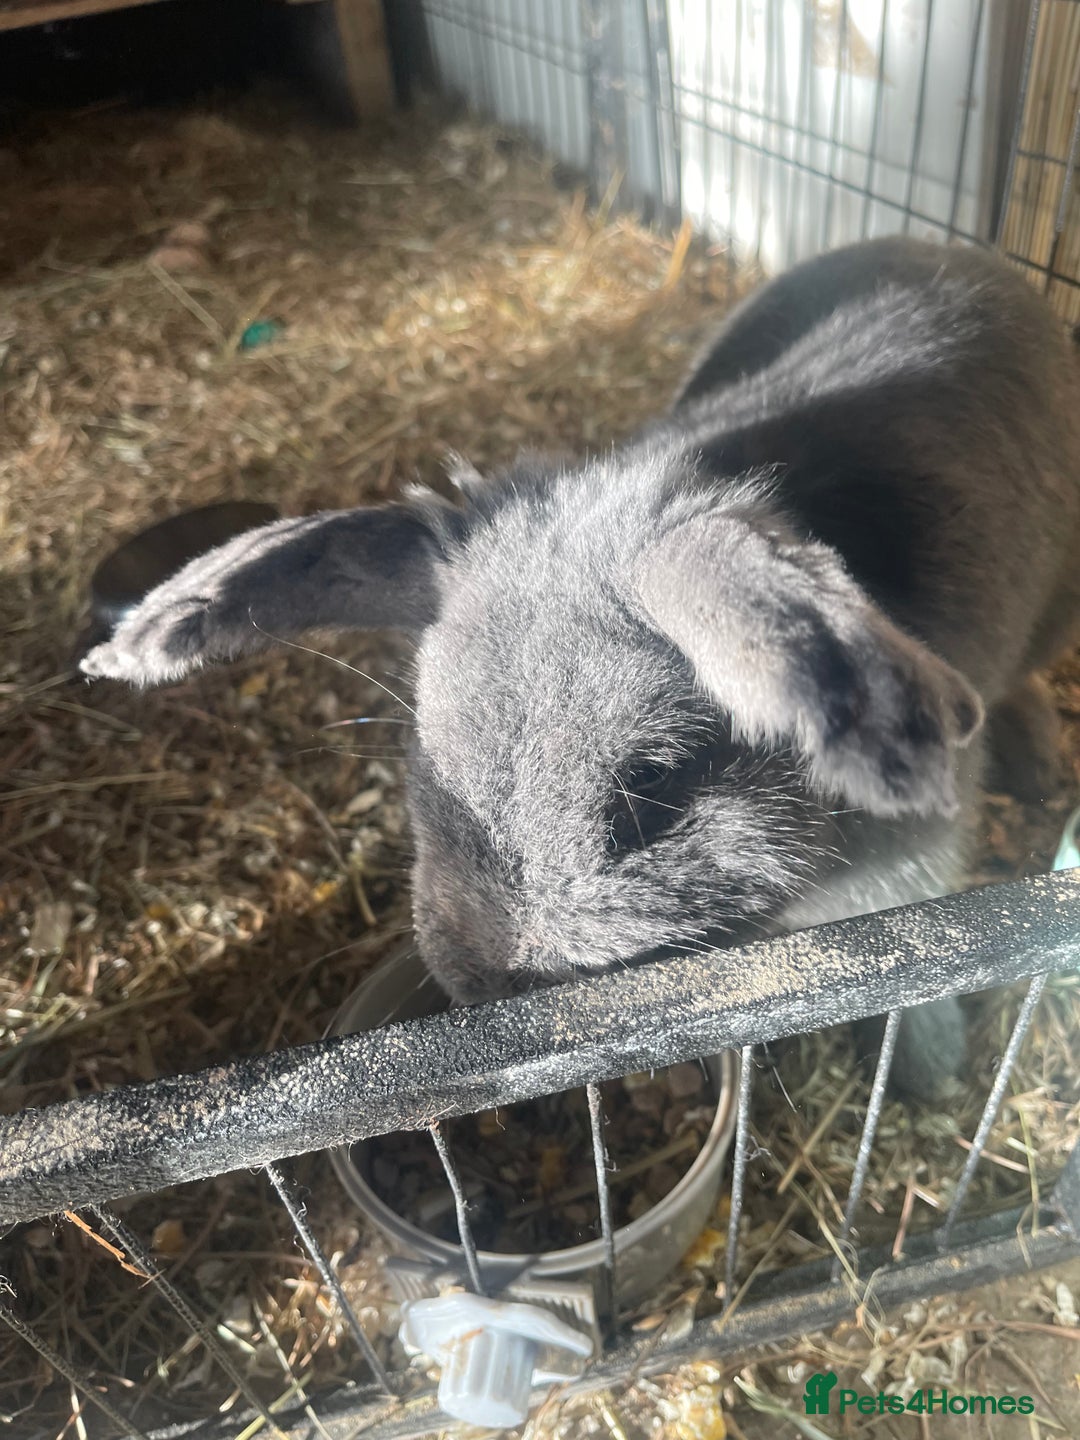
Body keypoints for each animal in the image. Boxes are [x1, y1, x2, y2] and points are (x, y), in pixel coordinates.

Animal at [80, 236, 1080, 1101]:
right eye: (422, 748)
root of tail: (953, 250)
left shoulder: (911, 867)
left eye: (653, 787)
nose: (487, 989)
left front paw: (931, 1074)